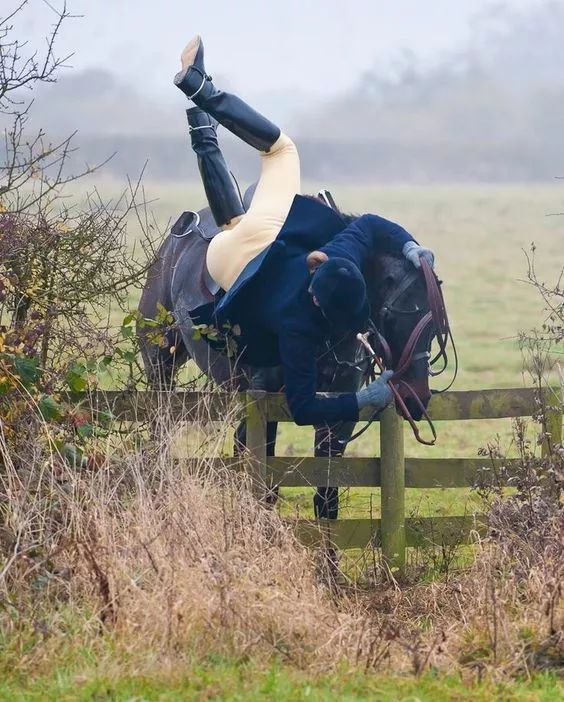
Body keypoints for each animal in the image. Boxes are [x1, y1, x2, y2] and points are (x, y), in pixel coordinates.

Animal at [139, 187, 438, 524]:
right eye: (392, 316)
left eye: (433, 322)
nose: (416, 398)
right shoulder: (267, 403)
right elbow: (267, 482)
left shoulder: (340, 407)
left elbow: (327, 492)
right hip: (161, 364)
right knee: (161, 428)